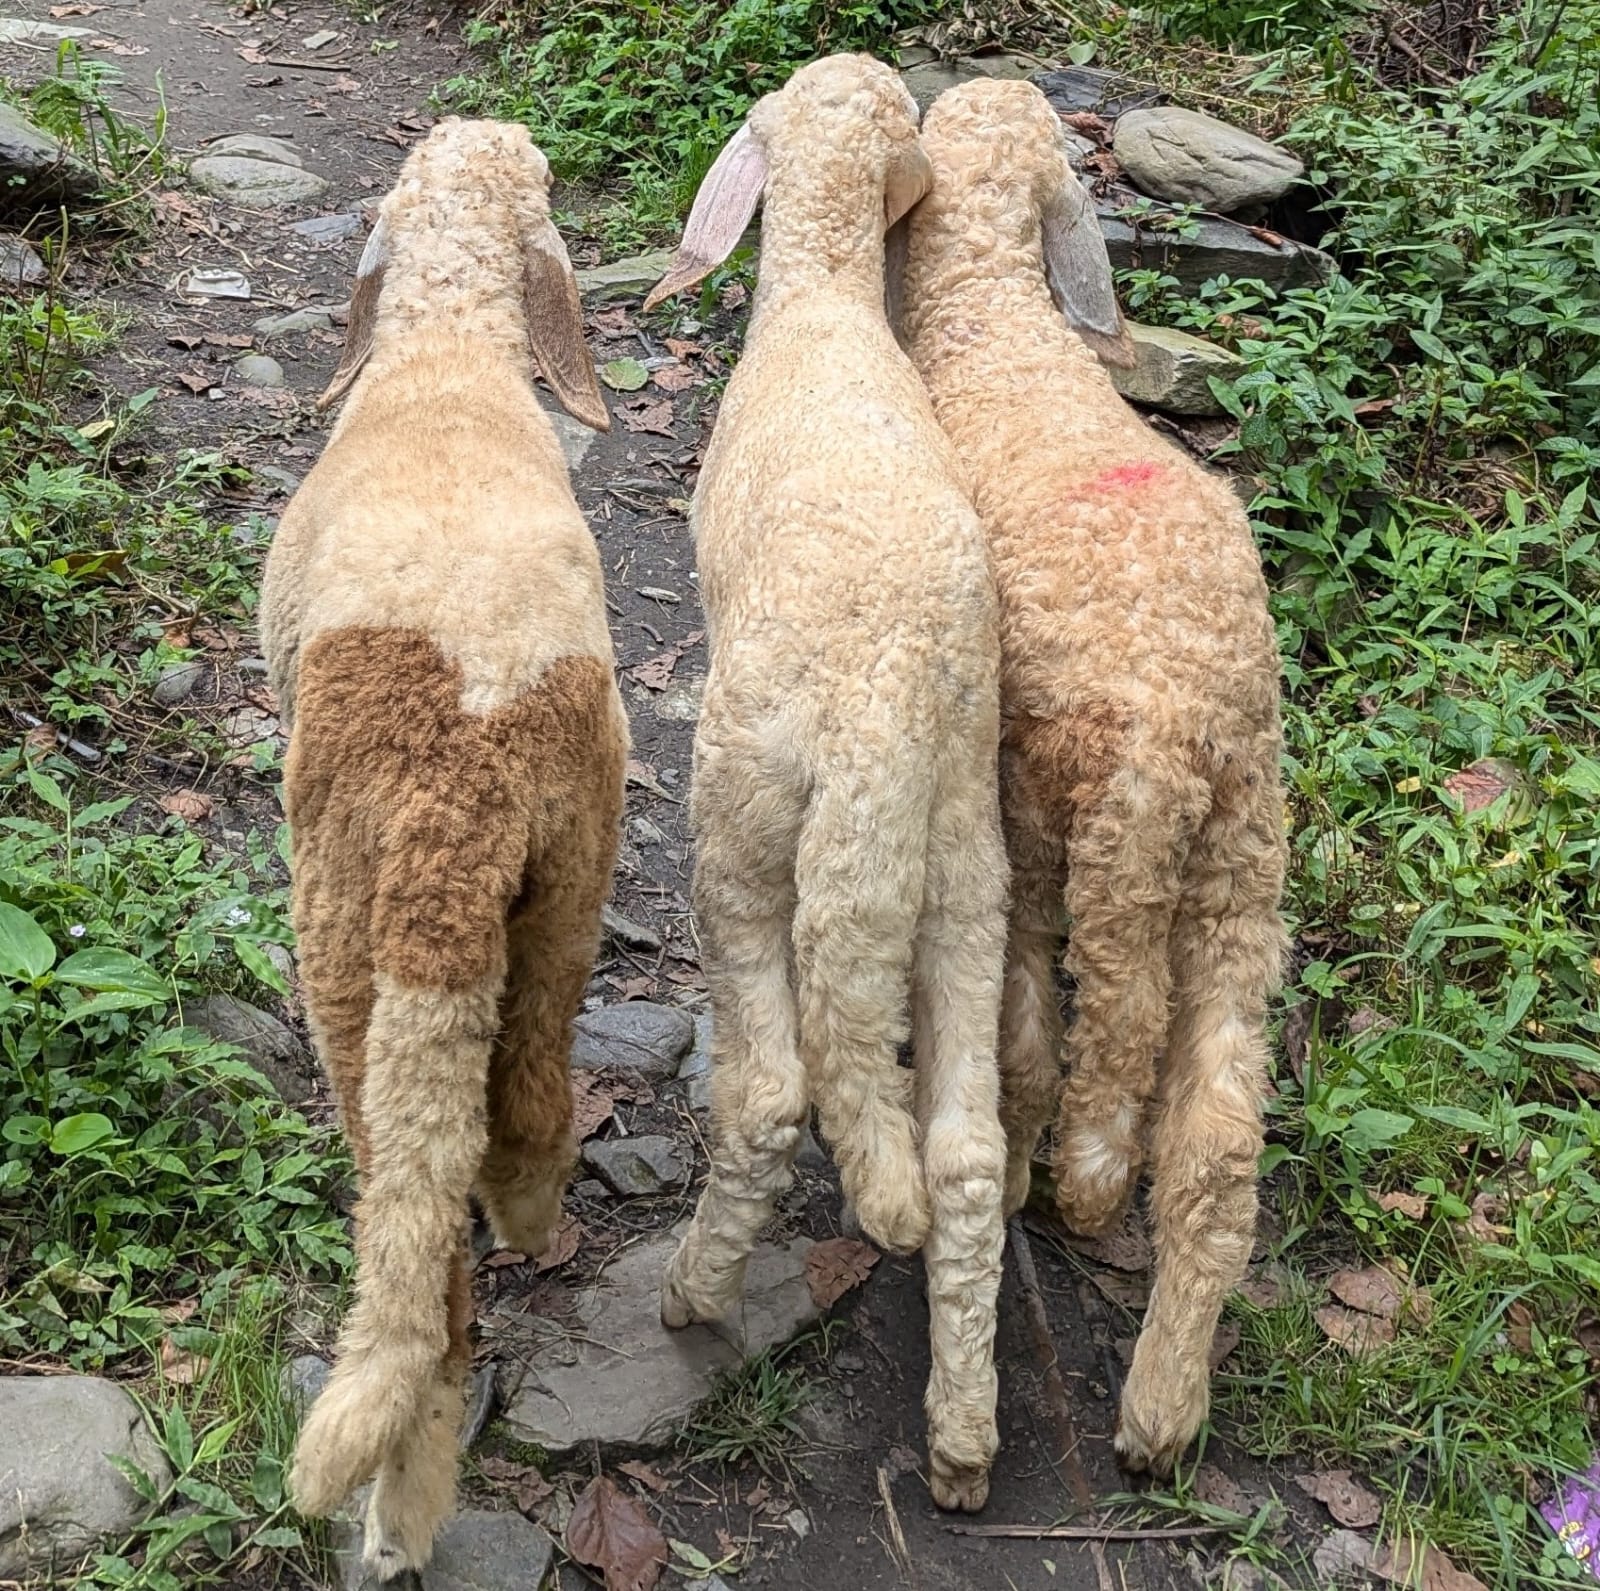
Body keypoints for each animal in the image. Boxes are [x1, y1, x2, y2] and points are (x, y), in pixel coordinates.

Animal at [259, 117, 626, 1578]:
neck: (453, 356)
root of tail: (464, 791)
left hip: (354, 965)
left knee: (425, 1278)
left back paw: (392, 1517)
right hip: (568, 890)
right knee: (528, 1105)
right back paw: (531, 1210)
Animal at [641, 53, 1011, 1511]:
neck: (825, 301)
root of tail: (891, 708)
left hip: (749, 826)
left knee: (772, 1097)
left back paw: (694, 1289)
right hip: (963, 869)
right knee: (965, 1156)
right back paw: (961, 1439)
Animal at [895, 78, 1289, 1477]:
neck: (992, 322)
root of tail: (1192, 716)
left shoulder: (1011, 803)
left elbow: (1019, 1020)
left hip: (1110, 833)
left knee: (1108, 1033)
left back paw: (1082, 1179)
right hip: (1243, 858)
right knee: (1219, 1147)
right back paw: (1163, 1409)